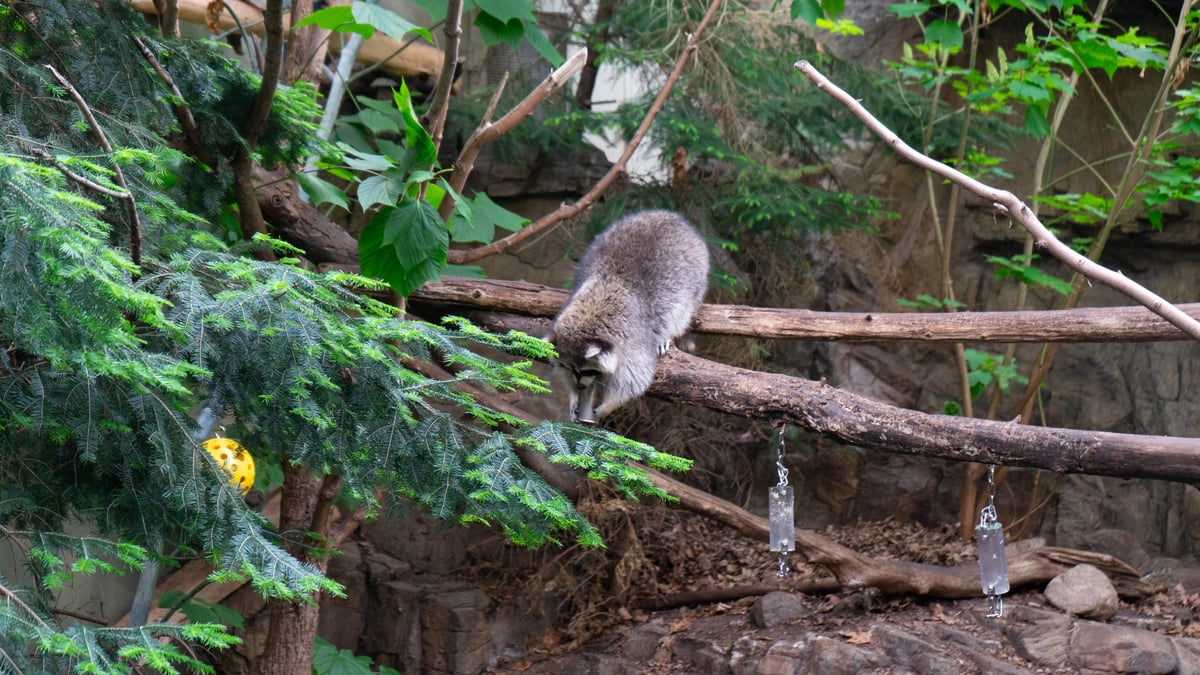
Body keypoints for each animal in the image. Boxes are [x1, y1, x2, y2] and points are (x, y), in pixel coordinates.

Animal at [549, 207, 705, 422]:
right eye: (569, 368)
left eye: (587, 370)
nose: (580, 386)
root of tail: (669, 215)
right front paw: (572, 394)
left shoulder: (633, 343)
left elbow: (634, 381)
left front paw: (609, 405)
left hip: (693, 277)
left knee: (679, 311)